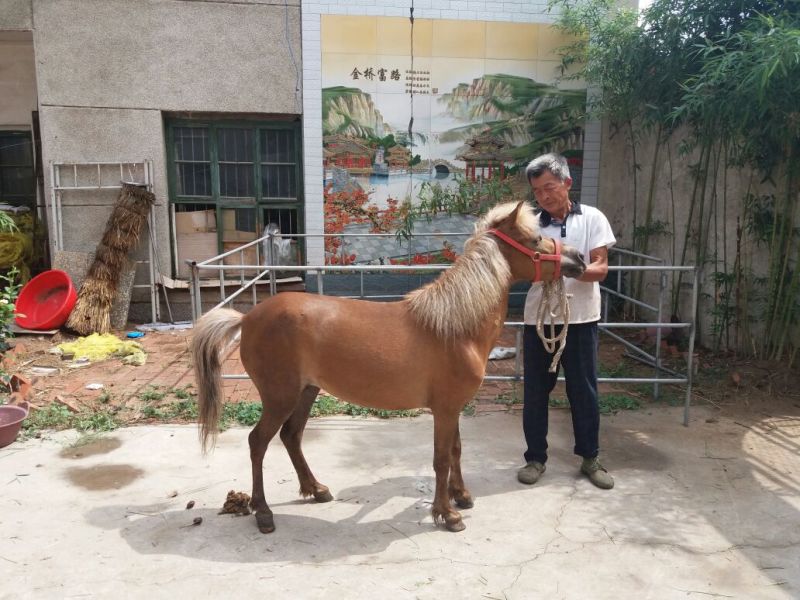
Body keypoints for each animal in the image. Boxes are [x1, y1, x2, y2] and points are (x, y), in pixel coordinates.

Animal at [191, 200, 586, 534]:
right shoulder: (444, 409)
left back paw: (316, 489)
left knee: (291, 436)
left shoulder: (454, 407)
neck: (455, 326)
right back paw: (264, 513)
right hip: (279, 396)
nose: (580, 257)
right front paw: (447, 514)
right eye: (534, 239)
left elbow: (456, 451)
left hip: (306, 391)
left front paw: (461, 496)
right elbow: (440, 458)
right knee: (258, 442)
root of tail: (248, 318)